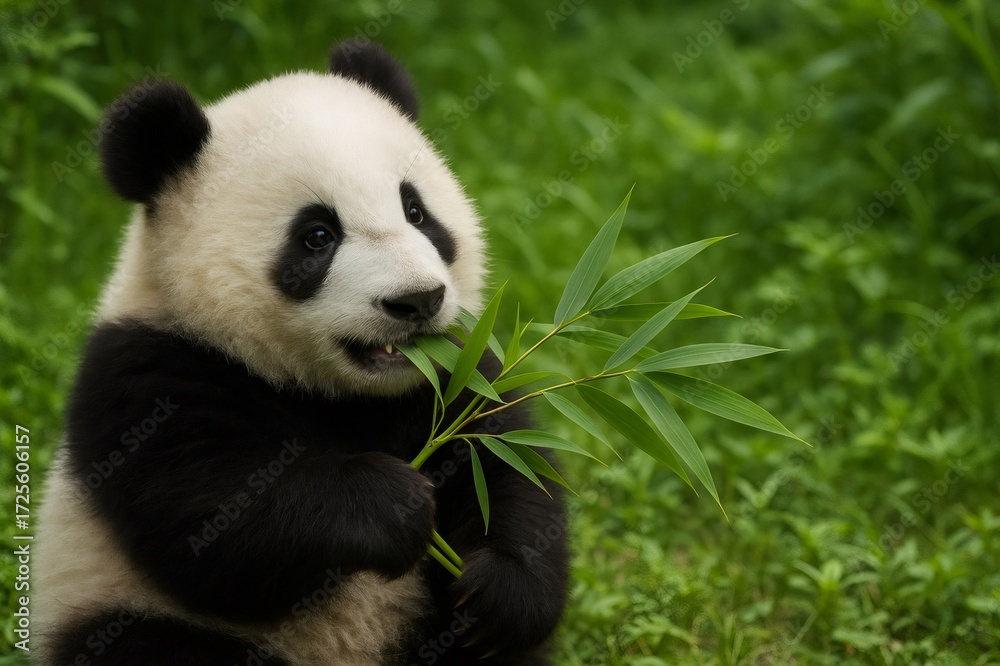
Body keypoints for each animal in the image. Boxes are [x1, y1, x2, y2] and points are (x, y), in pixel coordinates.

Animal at [34, 40, 569, 666]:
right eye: (317, 236)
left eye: (416, 212)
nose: (418, 300)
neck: (336, 390)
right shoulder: (149, 371)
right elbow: (215, 516)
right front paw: (396, 502)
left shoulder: (454, 371)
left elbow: (508, 469)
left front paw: (499, 592)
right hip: (120, 608)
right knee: (148, 644)